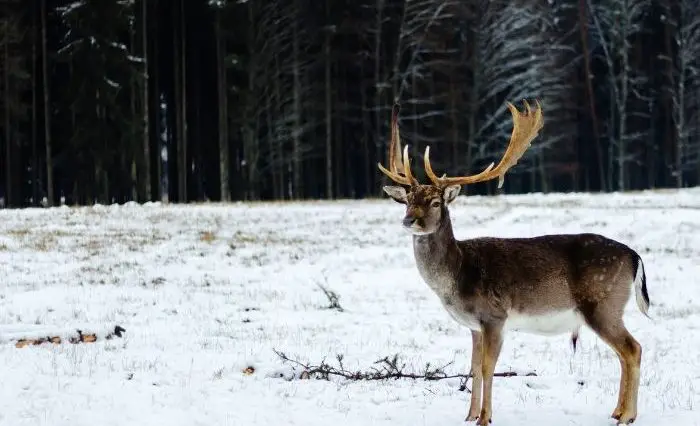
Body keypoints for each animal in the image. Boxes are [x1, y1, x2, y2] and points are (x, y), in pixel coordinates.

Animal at [377, 100, 651, 425]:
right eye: (408, 201)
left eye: (435, 202)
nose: (409, 221)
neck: (456, 276)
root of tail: (634, 256)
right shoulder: (474, 326)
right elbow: (473, 367)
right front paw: (469, 415)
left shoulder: (494, 316)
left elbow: (487, 367)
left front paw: (485, 417)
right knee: (623, 353)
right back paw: (617, 411)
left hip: (602, 303)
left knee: (633, 348)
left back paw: (628, 416)